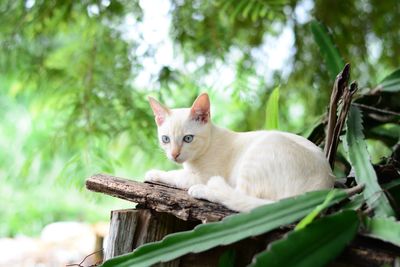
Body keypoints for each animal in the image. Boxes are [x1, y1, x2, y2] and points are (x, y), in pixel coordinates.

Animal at [144, 93, 334, 213]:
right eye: (166, 139)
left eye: (188, 138)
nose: (174, 155)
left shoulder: (202, 176)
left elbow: (176, 175)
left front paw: (154, 173)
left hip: (259, 152)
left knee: (239, 197)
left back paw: (203, 190)